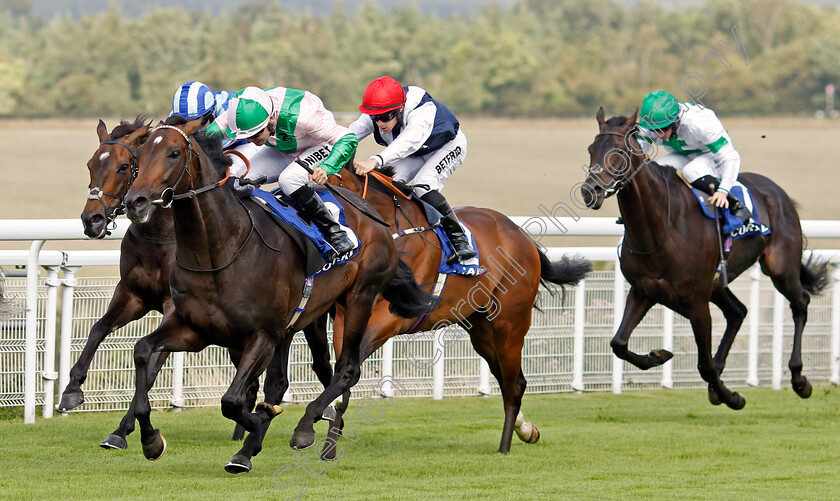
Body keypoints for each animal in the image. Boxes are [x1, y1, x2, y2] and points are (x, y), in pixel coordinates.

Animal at [61, 120, 334, 450]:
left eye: (124, 166)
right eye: (91, 164)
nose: (92, 219)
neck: (161, 235)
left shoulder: (171, 306)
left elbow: (153, 366)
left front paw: (123, 429)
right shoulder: (132, 293)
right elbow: (98, 328)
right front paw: (72, 390)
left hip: (306, 318)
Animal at [121, 117, 430, 472]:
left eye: (173, 153)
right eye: (140, 153)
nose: (135, 201)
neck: (219, 250)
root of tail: (372, 214)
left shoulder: (263, 334)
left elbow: (232, 401)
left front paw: (258, 427)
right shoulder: (194, 330)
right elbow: (143, 350)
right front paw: (150, 439)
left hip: (359, 299)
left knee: (347, 370)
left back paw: (307, 428)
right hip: (310, 316)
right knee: (312, 374)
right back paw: (313, 443)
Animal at [576, 108, 828, 406]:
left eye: (620, 150)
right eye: (591, 149)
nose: (590, 191)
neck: (661, 227)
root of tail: (780, 193)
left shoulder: (697, 302)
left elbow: (704, 365)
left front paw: (733, 397)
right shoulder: (644, 290)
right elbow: (619, 344)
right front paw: (658, 356)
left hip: (781, 269)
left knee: (800, 303)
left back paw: (799, 378)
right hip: (718, 284)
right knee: (738, 312)